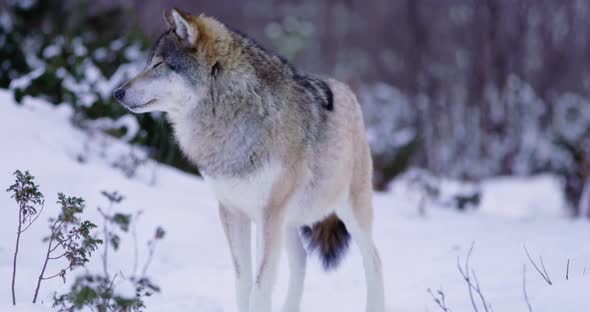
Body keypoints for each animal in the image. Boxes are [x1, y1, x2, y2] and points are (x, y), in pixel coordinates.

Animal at [114, 7, 388, 312]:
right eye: (148, 63)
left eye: (159, 64)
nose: (117, 93)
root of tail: (346, 89)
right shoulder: (233, 212)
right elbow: (243, 281)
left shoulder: (268, 214)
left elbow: (260, 286)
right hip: (289, 221)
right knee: (301, 259)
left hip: (348, 210)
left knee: (374, 261)